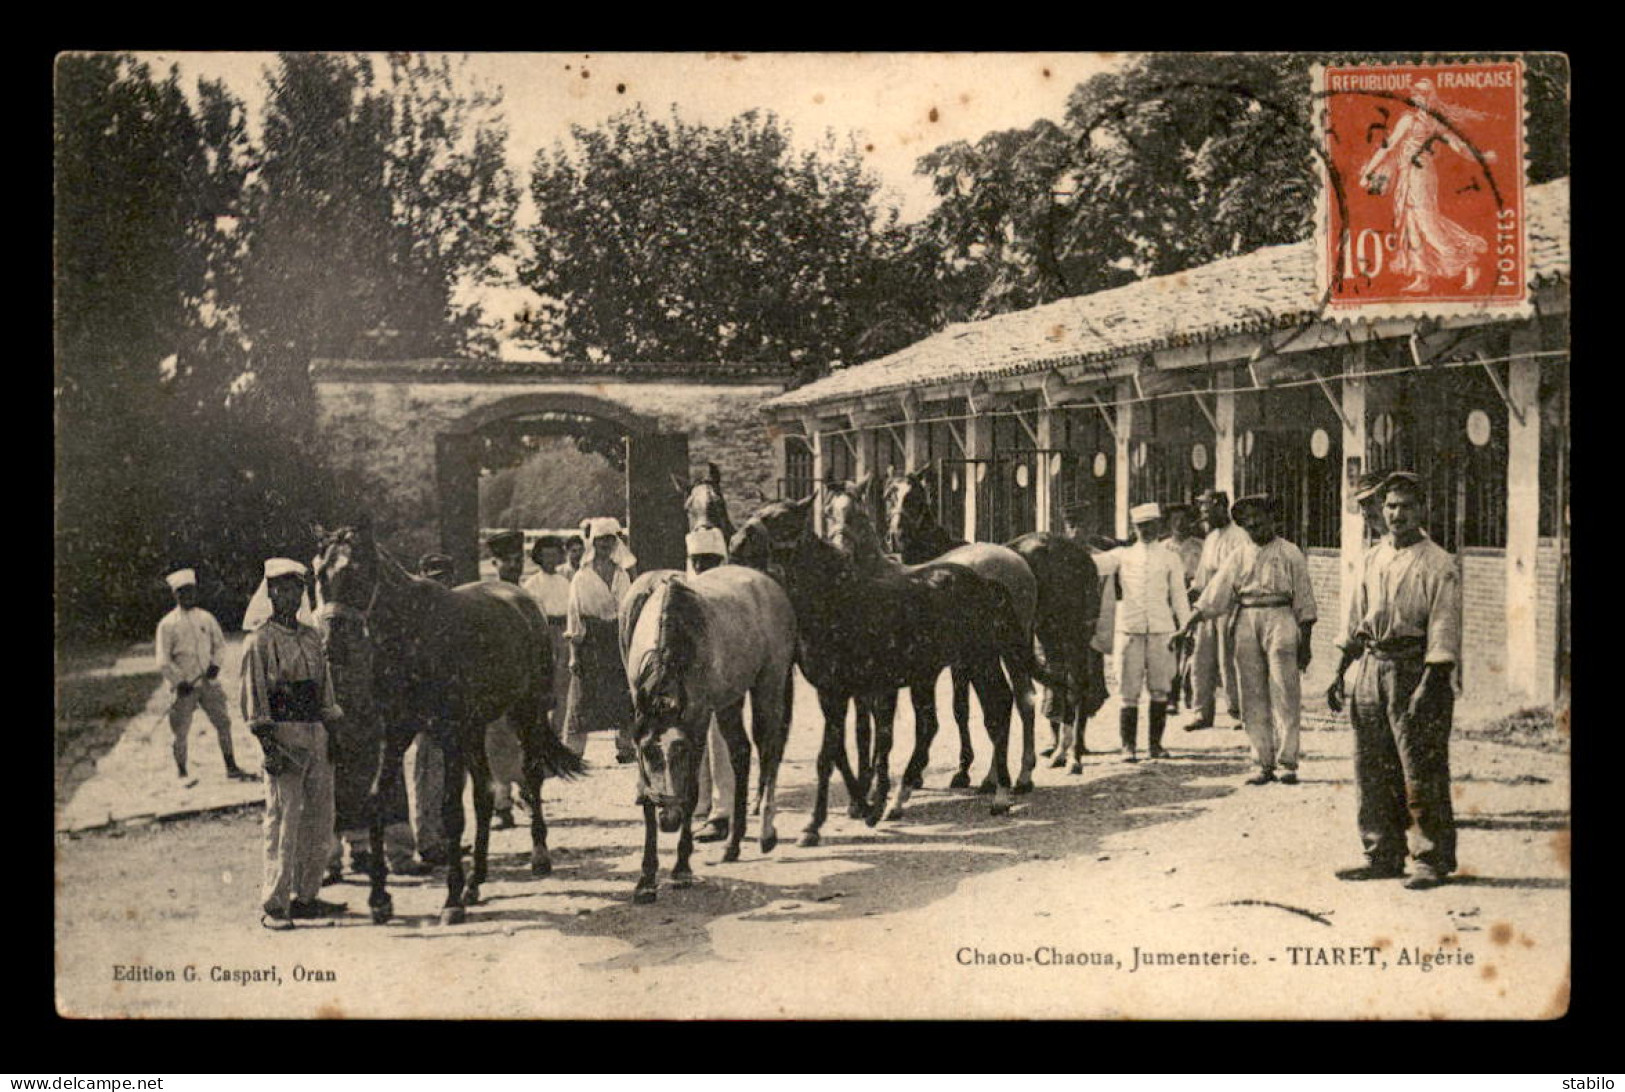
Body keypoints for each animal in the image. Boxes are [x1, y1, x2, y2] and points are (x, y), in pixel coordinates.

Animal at [310, 516, 585, 923]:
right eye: (319, 574)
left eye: (358, 571)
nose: (333, 644)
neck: (415, 635)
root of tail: (521, 599)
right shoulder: (395, 733)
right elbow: (377, 800)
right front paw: (379, 898)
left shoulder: (450, 734)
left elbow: (452, 812)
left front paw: (451, 899)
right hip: (477, 729)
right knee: (485, 793)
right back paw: (477, 880)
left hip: (525, 712)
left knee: (531, 774)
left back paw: (537, 856)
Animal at [617, 562, 796, 903]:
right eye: (647, 753)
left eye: (681, 752)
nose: (670, 819)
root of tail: (767, 581)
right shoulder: (640, 717)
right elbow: (646, 795)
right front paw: (646, 879)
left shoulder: (697, 722)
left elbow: (691, 792)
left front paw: (681, 869)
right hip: (729, 699)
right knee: (741, 752)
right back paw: (733, 843)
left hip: (770, 681)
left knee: (769, 750)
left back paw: (766, 832)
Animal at [734, 497, 1027, 845]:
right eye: (757, 512)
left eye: (781, 520)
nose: (737, 543)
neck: (836, 601)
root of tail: (985, 583)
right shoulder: (831, 693)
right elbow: (840, 752)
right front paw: (859, 808)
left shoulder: (848, 691)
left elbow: (833, 754)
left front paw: (817, 824)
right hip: (938, 670)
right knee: (938, 723)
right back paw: (902, 798)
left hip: (980, 661)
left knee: (997, 710)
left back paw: (1001, 795)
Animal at [890, 474, 1105, 773]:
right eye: (890, 494)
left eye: (916, 497)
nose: (896, 536)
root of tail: (1082, 555)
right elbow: (963, 709)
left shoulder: (962, 659)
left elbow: (962, 708)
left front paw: (965, 766)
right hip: (1049, 633)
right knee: (1062, 683)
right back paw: (1061, 752)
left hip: (1073, 633)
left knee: (1077, 685)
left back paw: (1073, 757)